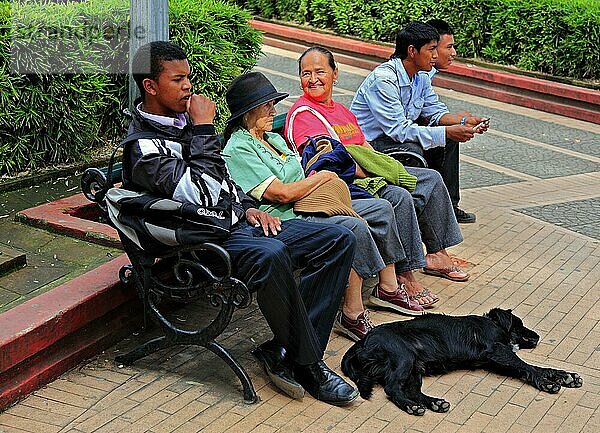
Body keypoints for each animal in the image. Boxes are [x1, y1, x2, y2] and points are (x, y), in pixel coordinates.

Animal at [342, 308, 580, 416]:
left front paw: (565, 375)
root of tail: (362, 342)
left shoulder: (496, 361)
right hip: (403, 358)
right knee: (392, 388)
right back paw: (412, 407)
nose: (538, 336)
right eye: (519, 325)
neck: (492, 323)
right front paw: (548, 382)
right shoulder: (497, 352)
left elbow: (534, 367)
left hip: (415, 367)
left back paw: (434, 403)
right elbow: (528, 367)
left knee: (412, 391)